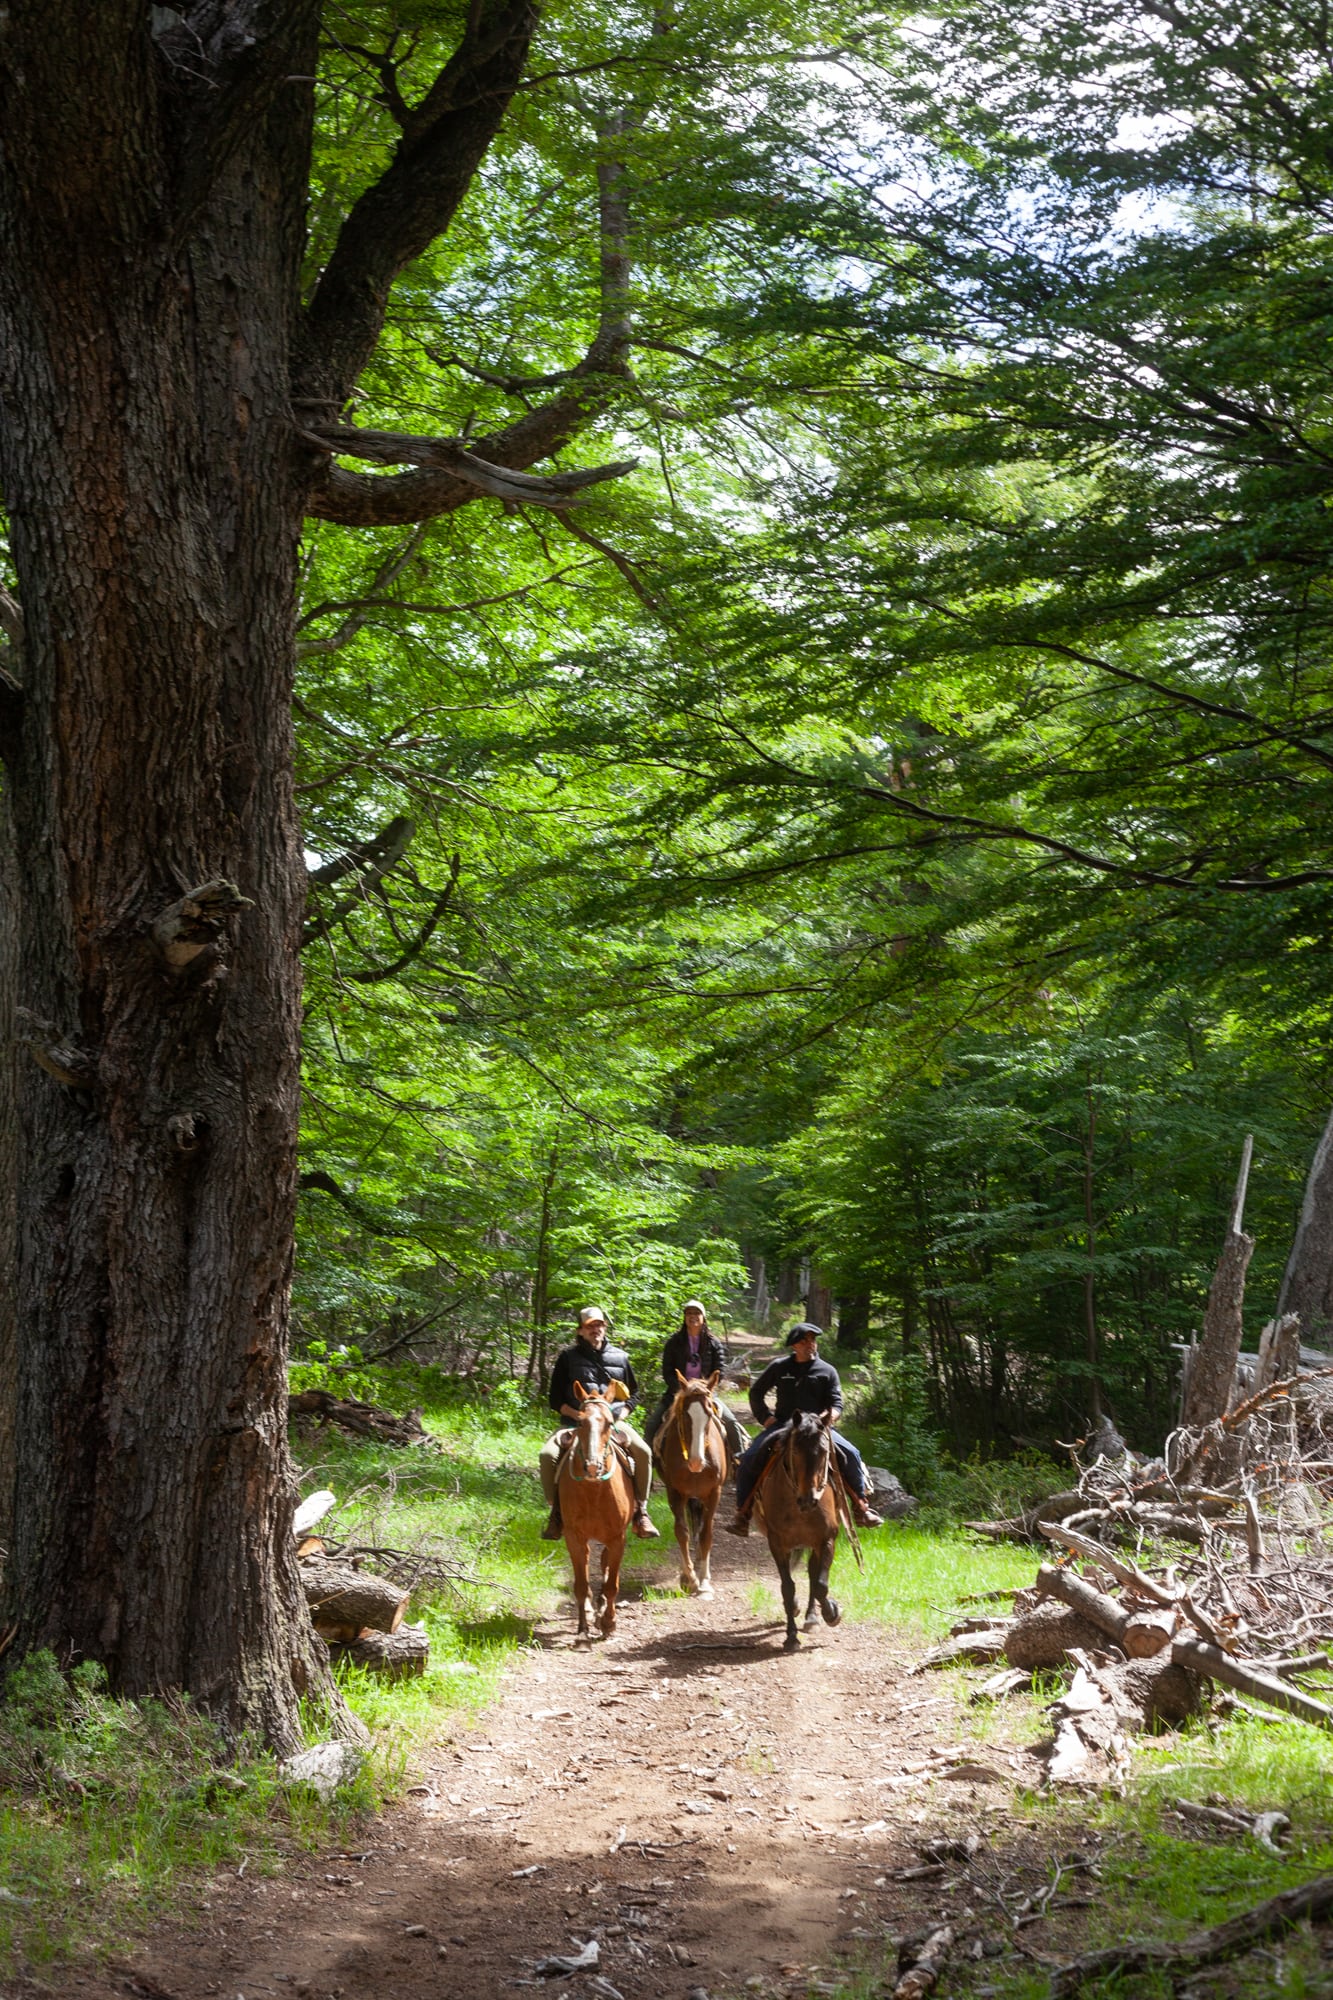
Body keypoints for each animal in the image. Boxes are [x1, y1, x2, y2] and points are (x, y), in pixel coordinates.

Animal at [548, 1384, 632, 1648]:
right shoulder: (574, 1537)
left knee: (604, 1564)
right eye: (580, 1421)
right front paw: (583, 1631)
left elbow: (612, 1584)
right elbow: (581, 1585)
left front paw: (609, 1624)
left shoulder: (618, 1537)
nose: (593, 1467)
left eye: (609, 1422)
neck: (594, 1490)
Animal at [652, 1368, 728, 1600]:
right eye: (685, 1414)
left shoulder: (714, 1492)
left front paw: (704, 1582)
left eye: (709, 1414)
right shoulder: (675, 1492)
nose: (696, 1461)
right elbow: (682, 1531)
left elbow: (706, 1534)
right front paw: (689, 1579)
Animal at [752, 1400, 836, 1648]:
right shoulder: (778, 1544)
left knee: (812, 1575)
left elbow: (820, 1585)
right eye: (795, 1451)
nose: (809, 1499)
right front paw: (791, 1635)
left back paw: (812, 1618)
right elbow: (787, 1587)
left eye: (824, 1452)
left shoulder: (827, 1540)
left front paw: (831, 1613)